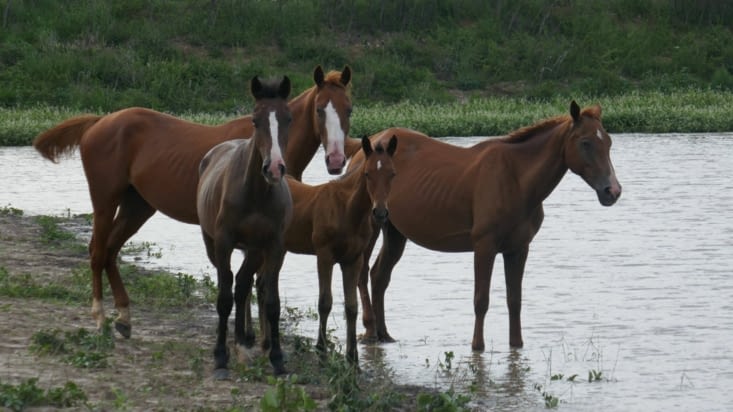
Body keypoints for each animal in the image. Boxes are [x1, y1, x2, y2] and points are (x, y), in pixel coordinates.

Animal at [32, 65, 355, 339]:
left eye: (349, 109)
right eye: (319, 110)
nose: (336, 159)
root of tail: (100, 122)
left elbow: (257, 280)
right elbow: (249, 280)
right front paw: (250, 336)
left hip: (137, 207)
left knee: (110, 250)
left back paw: (124, 318)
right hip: (105, 201)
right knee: (97, 251)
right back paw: (100, 318)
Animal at [196, 75, 292, 378]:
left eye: (288, 118)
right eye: (254, 120)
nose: (274, 168)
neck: (256, 194)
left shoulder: (274, 246)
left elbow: (271, 302)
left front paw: (277, 359)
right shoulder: (224, 242)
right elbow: (223, 298)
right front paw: (220, 356)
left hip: (254, 250)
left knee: (242, 283)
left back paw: (242, 339)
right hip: (213, 245)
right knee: (231, 285)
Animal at [248, 135, 397, 364]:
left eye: (392, 174)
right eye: (367, 174)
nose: (380, 213)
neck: (346, 209)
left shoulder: (353, 260)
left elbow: (351, 307)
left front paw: (353, 358)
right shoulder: (324, 256)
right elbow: (325, 302)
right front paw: (321, 349)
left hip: (278, 250)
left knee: (262, 284)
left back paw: (266, 342)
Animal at [351, 101, 622, 351]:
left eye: (608, 142)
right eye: (585, 142)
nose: (612, 191)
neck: (516, 179)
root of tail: (363, 150)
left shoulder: (518, 249)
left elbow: (514, 300)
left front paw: (516, 344)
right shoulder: (484, 246)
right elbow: (481, 300)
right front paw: (477, 345)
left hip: (395, 232)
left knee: (379, 276)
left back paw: (384, 334)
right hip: (373, 224)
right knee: (362, 273)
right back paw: (370, 330)